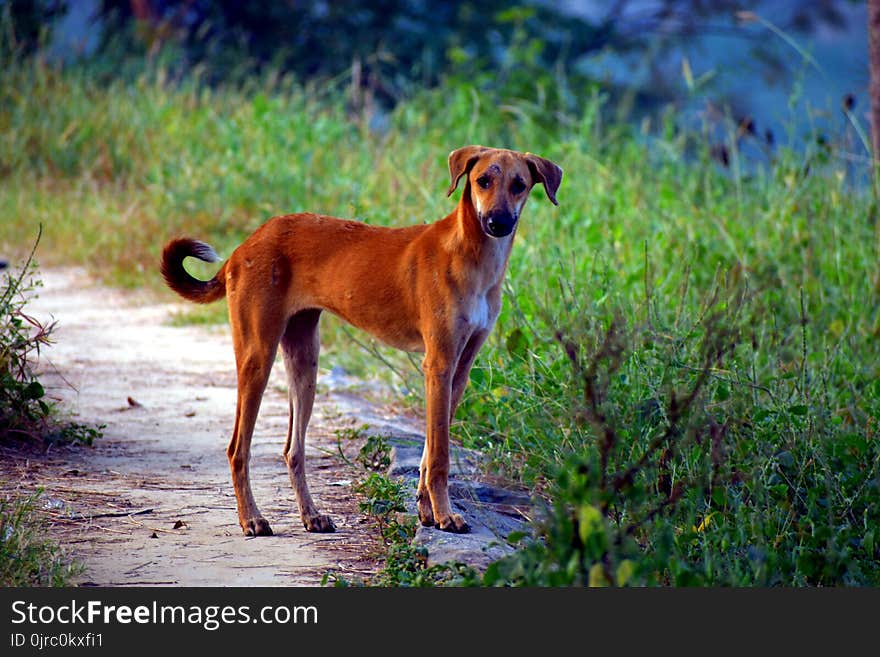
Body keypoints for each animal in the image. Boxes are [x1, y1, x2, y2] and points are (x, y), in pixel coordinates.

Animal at [162, 146, 564, 536]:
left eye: (519, 184)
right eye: (482, 180)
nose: (498, 222)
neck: (470, 255)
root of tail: (244, 246)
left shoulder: (459, 371)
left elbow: (429, 452)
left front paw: (427, 512)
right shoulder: (438, 364)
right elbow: (439, 457)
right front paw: (446, 516)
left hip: (305, 363)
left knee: (293, 450)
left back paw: (311, 516)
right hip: (257, 356)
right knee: (237, 449)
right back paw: (252, 520)